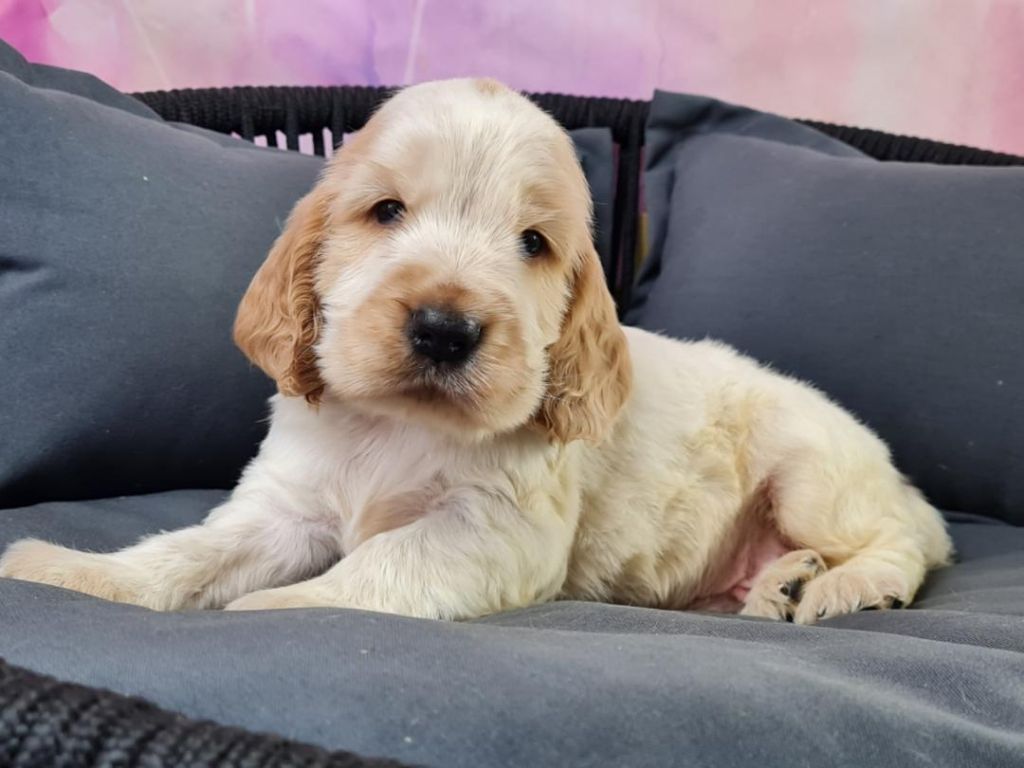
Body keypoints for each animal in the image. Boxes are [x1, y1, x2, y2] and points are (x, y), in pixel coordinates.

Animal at [0, 78, 952, 623]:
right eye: (385, 211)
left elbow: (377, 567)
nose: (444, 329)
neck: (397, 426)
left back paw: (836, 586)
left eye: (533, 243)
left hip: (814, 473)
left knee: (898, 542)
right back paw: (775, 587)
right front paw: (74, 574)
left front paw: (276, 608)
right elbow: (191, 552)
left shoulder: (494, 530)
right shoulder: (284, 506)